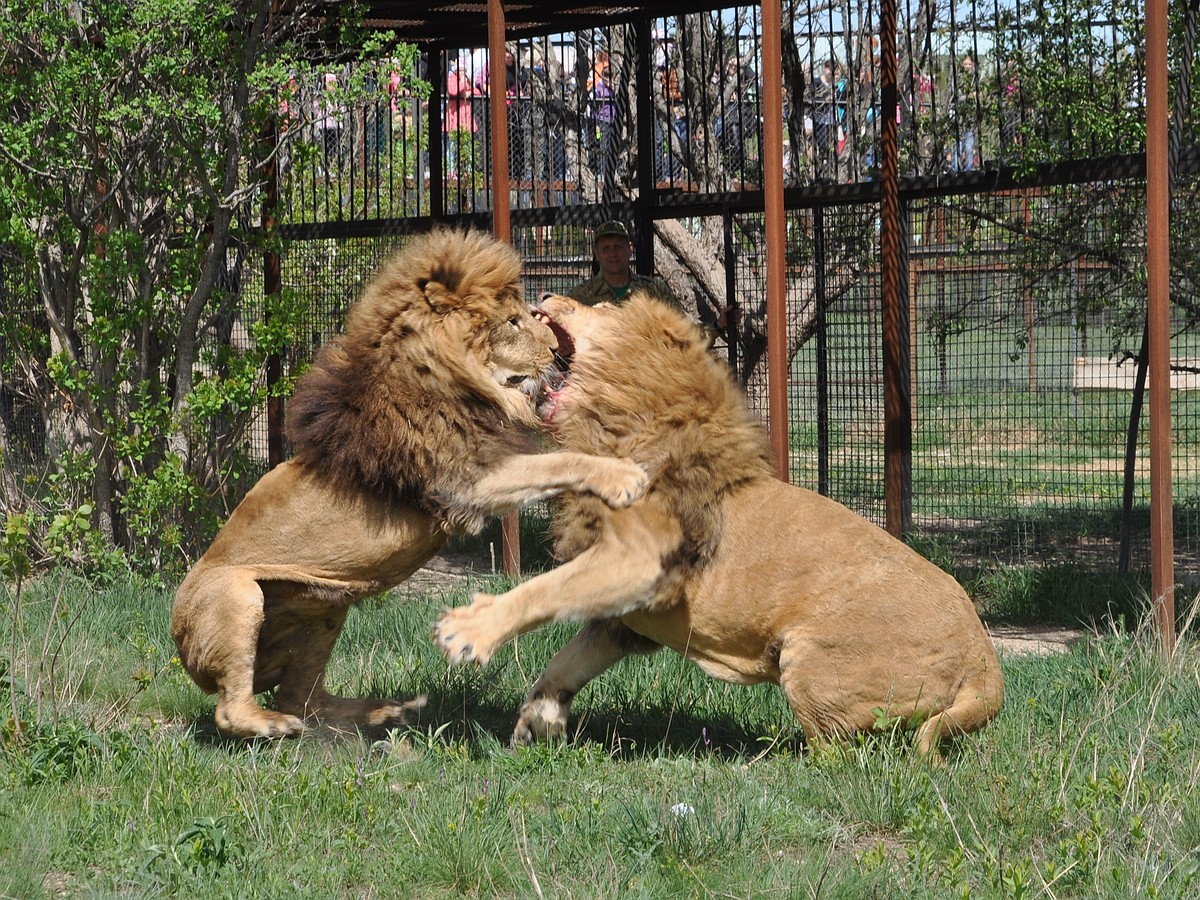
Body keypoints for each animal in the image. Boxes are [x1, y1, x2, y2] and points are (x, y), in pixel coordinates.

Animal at [169, 230, 648, 739]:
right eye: (513, 322)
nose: (557, 355)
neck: (451, 383)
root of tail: (177, 640)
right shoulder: (466, 482)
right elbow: (556, 462)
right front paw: (623, 475)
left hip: (326, 608)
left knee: (304, 698)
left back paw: (383, 711)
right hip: (239, 596)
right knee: (234, 708)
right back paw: (275, 726)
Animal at [436, 292, 1008, 758]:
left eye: (598, 307)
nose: (546, 298)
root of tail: (986, 666)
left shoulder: (642, 560)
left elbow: (542, 591)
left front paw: (471, 631)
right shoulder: (625, 615)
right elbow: (564, 661)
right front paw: (538, 722)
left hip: (809, 657)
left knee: (845, 756)